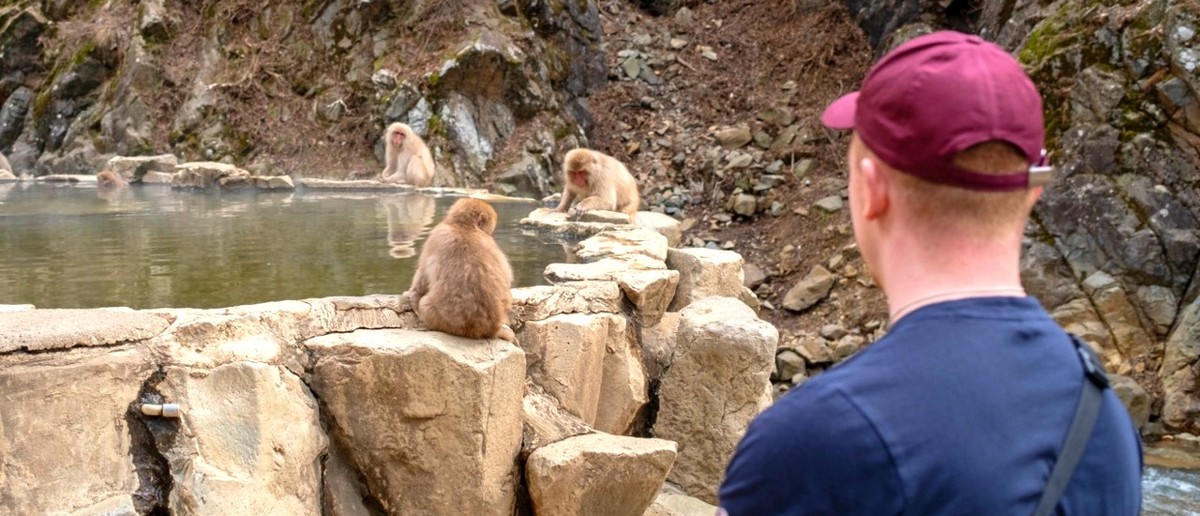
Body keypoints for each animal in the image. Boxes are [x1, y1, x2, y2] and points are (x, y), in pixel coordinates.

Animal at [407, 198, 516, 342]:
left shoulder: (435, 236)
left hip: (445, 322)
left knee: (424, 303)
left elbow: (421, 279)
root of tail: (489, 329)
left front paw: (413, 300)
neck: (464, 227)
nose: (490, 234)